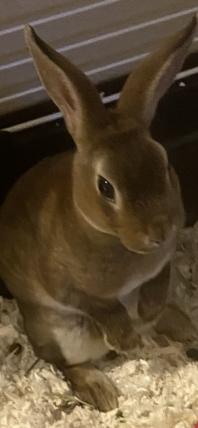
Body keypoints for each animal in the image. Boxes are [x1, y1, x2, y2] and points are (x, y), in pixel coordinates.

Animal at [0, 15, 196, 412]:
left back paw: (178, 325)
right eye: (105, 187)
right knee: (65, 364)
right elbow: (102, 308)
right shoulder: (72, 289)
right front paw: (125, 341)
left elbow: (157, 280)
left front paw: (148, 313)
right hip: (62, 337)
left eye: (164, 163)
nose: (159, 231)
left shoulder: (161, 264)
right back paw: (102, 393)